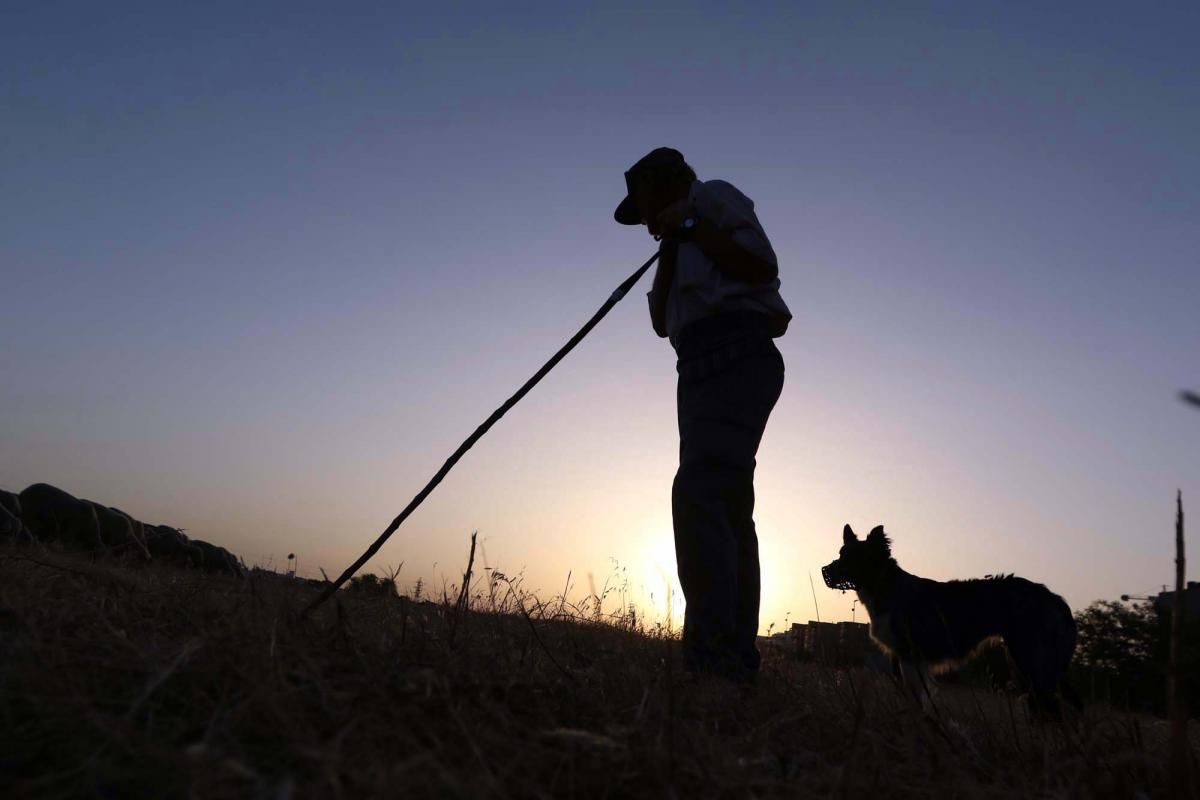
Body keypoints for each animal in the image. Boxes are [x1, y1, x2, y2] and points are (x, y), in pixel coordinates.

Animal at [820, 525, 1084, 719]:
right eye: (841, 553)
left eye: (853, 557)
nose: (825, 571)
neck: (886, 586)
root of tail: (1055, 599)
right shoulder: (900, 657)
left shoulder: (909, 655)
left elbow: (916, 697)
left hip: (1031, 659)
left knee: (1051, 708)